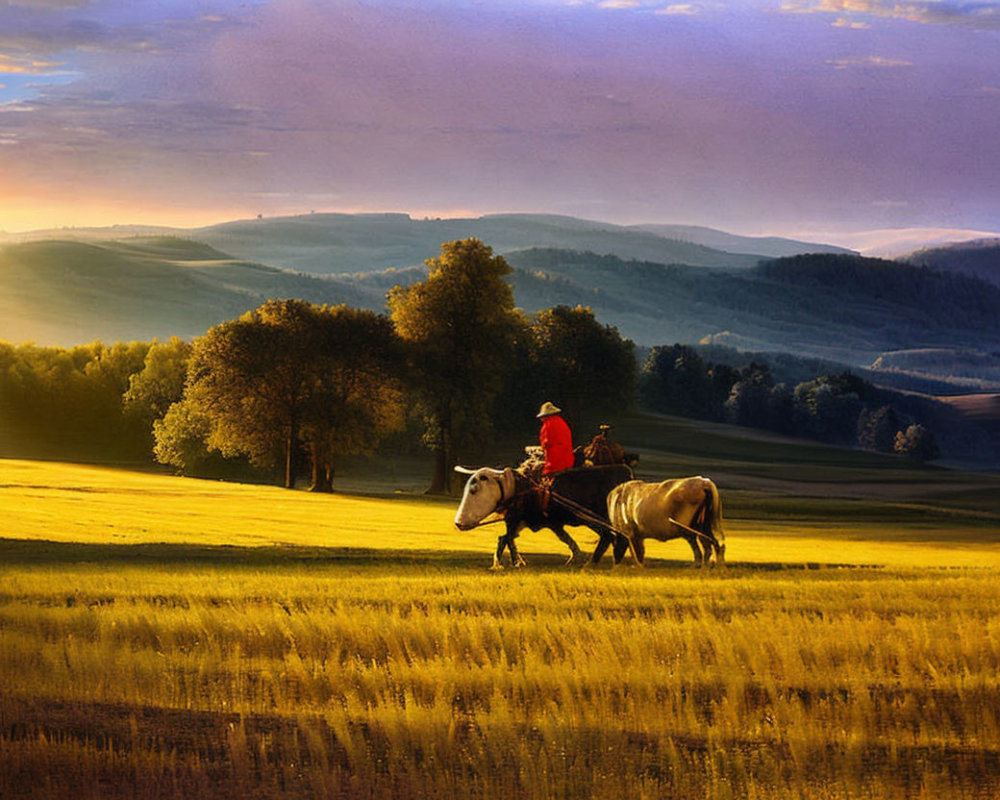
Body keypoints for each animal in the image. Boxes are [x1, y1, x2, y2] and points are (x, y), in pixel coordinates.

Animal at [456, 462, 632, 568]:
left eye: (474, 489)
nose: (458, 523)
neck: (517, 487)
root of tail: (625, 472)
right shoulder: (530, 521)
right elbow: (505, 538)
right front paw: (501, 564)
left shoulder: (518, 519)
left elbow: (509, 538)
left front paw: (515, 562)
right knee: (613, 537)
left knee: (612, 537)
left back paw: (598, 561)